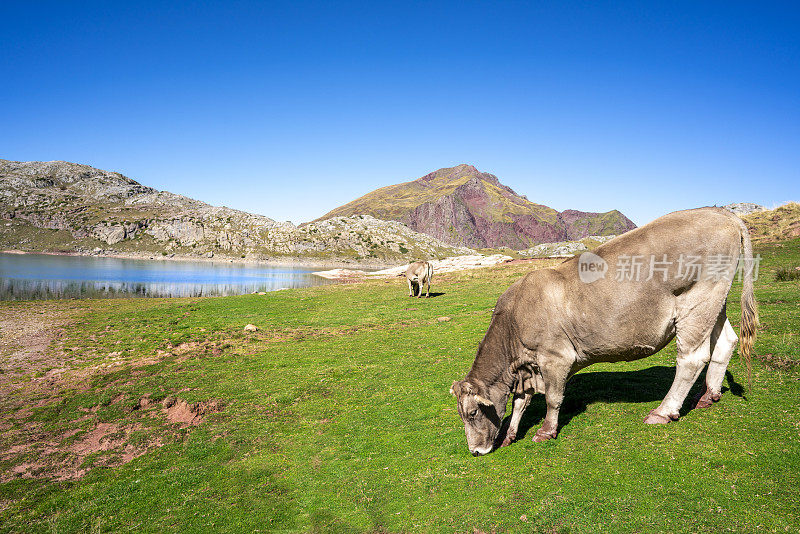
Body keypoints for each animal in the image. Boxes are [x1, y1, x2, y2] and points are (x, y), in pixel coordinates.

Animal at [450, 208, 756, 456]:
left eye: (473, 412)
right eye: (463, 416)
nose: (476, 451)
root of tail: (720, 212)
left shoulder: (555, 357)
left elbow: (552, 398)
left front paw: (546, 431)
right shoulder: (528, 367)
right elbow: (519, 402)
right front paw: (510, 435)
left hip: (696, 302)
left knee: (691, 359)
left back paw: (663, 411)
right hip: (716, 303)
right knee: (726, 342)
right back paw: (708, 396)